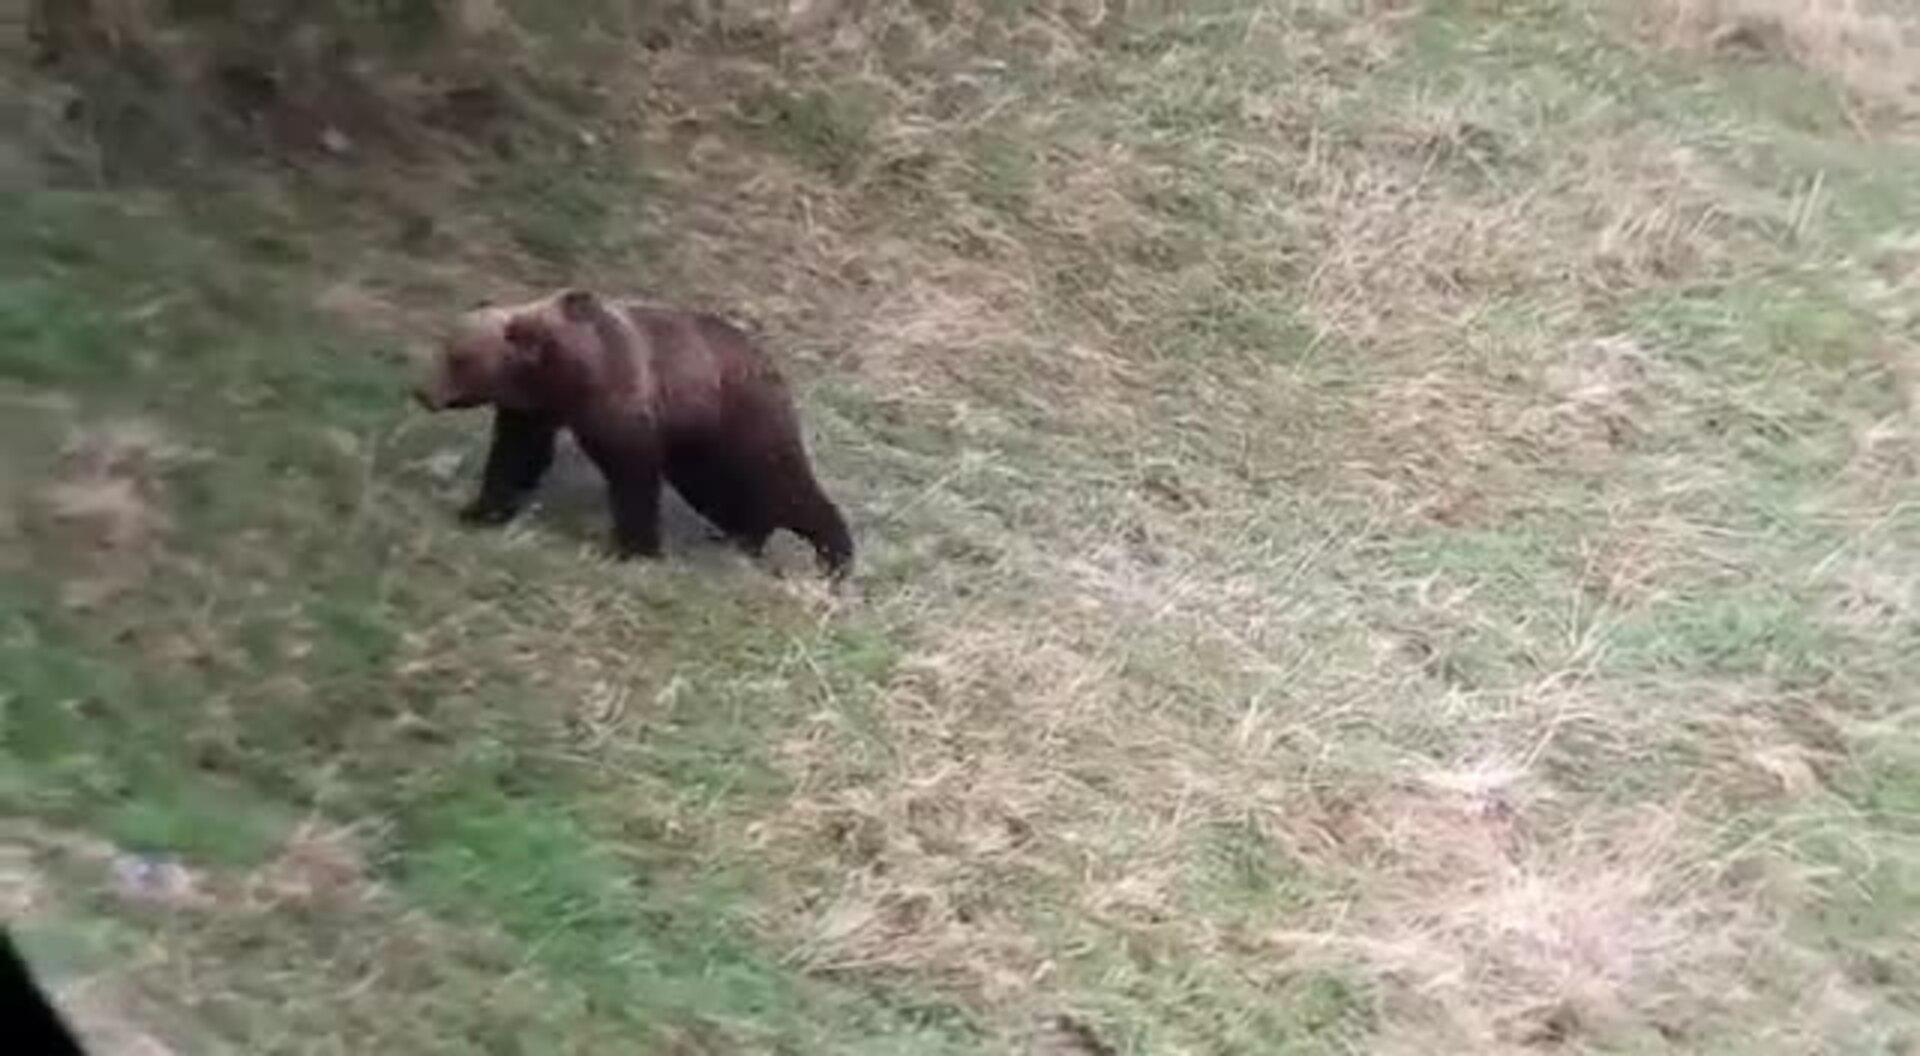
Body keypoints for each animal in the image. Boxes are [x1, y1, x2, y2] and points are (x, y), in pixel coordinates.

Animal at [418, 288, 856, 579]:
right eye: (445, 347)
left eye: (458, 358)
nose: (423, 393)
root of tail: (771, 364)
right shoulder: (534, 410)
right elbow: (516, 457)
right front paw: (479, 510)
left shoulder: (618, 397)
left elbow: (632, 473)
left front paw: (634, 548)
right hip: (700, 448)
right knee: (726, 492)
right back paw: (741, 538)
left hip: (741, 421)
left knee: (784, 482)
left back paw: (834, 557)